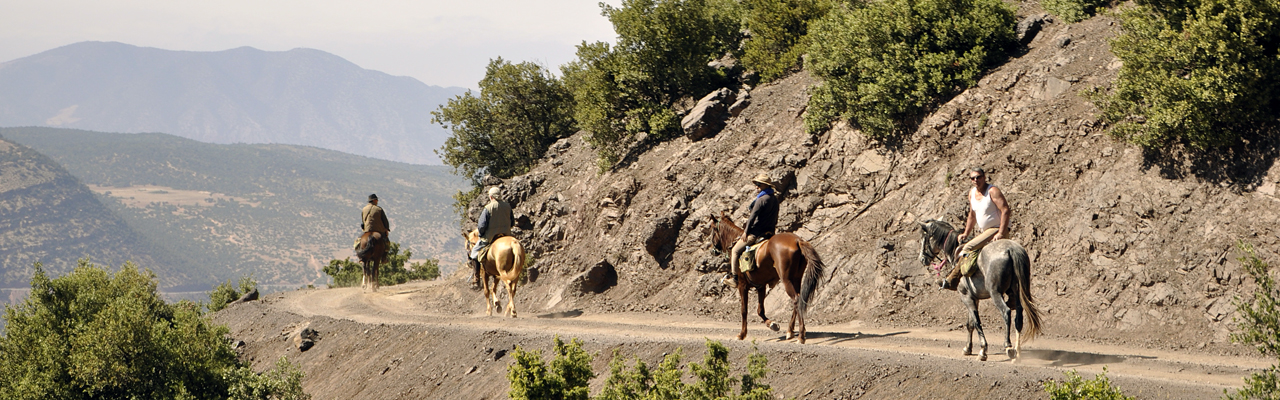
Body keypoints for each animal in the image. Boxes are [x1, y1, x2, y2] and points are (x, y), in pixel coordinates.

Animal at [706, 212, 824, 343]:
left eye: (712, 229)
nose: (712, 250)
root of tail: (797, 240)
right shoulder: (760, 286)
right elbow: (760, 310)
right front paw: (772, 324)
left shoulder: (742, 286)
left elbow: (744, 310)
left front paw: (741, 334)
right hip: (796, 279)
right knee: (798, 300)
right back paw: (790, 331)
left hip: (786, 280)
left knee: (796, 299)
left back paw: (801, 336)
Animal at [921, 219, 1039, 361]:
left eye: (924, 239)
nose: (922, 259)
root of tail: (1011, 249)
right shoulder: (974, 298)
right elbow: (970, 324)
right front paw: (968, 348)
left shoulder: (966, 296)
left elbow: (976, 322)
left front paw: (983, 350)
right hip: (1016, 293)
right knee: (1019, 317)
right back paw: (1018, 351)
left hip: (995, 293)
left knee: (1006, 312)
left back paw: (1008, 346)